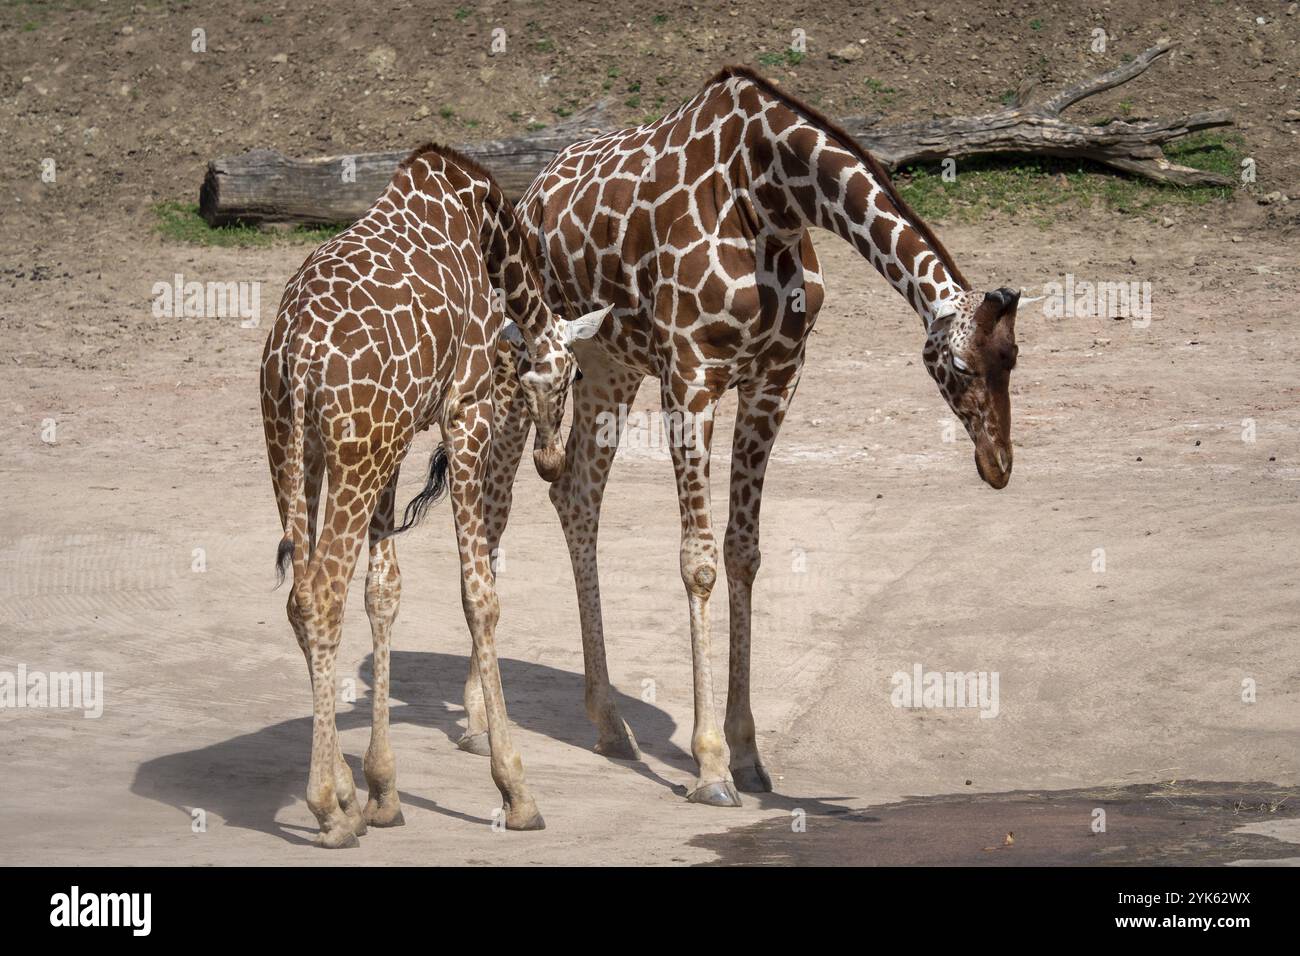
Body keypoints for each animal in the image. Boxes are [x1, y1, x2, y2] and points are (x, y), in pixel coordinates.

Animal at [261, 140, 611, 842]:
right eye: (574, 375)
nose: (550, 460)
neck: (485, 229)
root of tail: (295, 356)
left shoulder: (396, 444)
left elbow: (384, 593)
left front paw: (382, 789)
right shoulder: (465, 412)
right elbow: (480, 596)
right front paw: (516, 790)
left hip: (298, 450)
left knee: (300, 596)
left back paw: (343, 792)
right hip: (351, 455)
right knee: (322, 594)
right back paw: (327, 808)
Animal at [467, 63, 1024, 806]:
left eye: (1014, 359)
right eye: (960, 366)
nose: (998, 464)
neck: (771, 197)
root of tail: (528, 198)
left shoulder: (775, 379)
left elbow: (744, 553)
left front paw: (750, 756)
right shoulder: (689, 375)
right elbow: (697, 561)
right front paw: (709, 767)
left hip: (607, 365)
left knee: (576, 496)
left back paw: (610, 724)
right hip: (515, 365)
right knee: (493, 505)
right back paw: (477, 722)